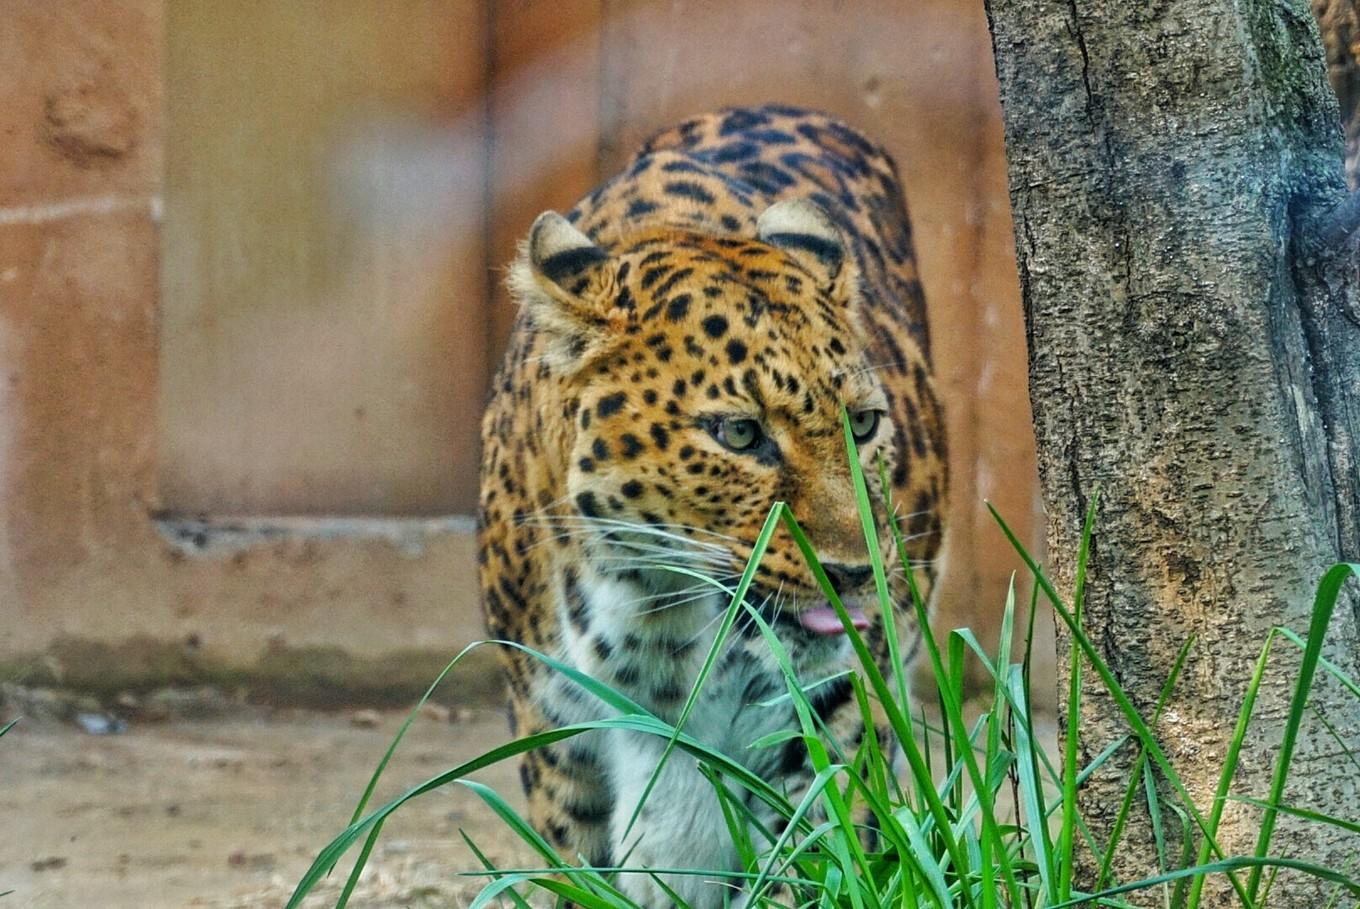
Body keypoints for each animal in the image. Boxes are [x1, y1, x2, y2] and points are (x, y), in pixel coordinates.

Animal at [478, 106, 946, 909]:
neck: (656, 617)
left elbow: (818, 855)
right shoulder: (557, 736)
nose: (856, 574)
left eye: (862, 424)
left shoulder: (829, 713)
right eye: (741, 433)